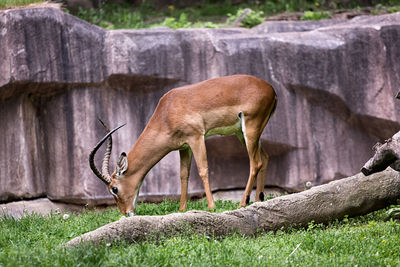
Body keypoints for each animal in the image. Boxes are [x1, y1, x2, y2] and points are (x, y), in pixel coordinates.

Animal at [89, 74, 276, 217]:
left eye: (114, 189)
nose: (125, 213)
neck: (167, 113)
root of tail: (271, 89)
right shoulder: (184, 147)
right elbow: (183, 175)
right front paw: (182, 209)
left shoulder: (196, 138)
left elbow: (203, 170)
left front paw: (212, 207)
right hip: (243, 133)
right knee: (265, 157)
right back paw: (258, 201)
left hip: (250, 128)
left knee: (256, 163)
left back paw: (242, 203)